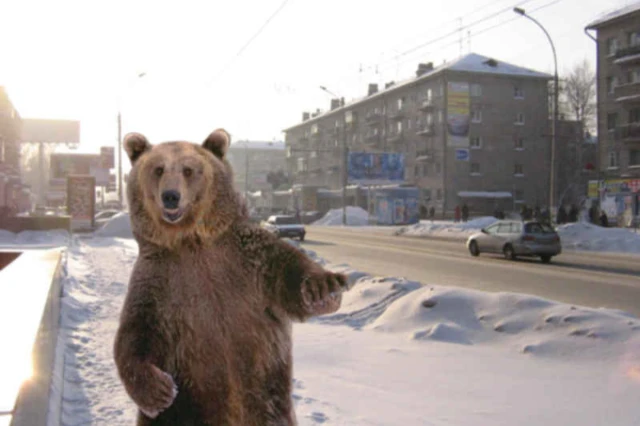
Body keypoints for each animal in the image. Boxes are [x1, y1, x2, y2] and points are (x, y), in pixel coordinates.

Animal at [112, 130, 348, 426]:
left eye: (188, 170)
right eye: (158, 169)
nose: (170, 196)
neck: (192, 241)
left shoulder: (248, 258)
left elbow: (288, 274)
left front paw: (323, 288)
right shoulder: (158, 281)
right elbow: (136, 333)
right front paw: (159, 391)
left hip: (268, 403)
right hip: (186, 411)